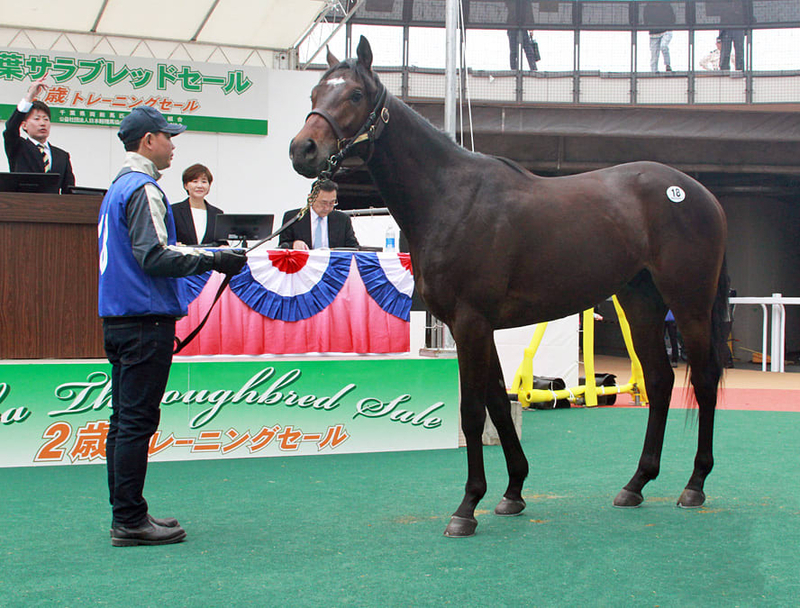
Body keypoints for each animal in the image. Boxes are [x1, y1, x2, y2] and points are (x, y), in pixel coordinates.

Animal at [290, 36, 729, 538]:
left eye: (355, 95)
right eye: (315, 94)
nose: (302, 149)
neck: (450, 198)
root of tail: (697, 192)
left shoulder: (471, 323)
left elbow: (473, 410)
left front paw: (466, 508)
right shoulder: (477, 327)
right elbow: (499, 404)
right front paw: (512, 492)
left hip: (690, 303)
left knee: (705, 380)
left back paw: (694, 485)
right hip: (641, 302)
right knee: (659, 380)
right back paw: (635, 484)